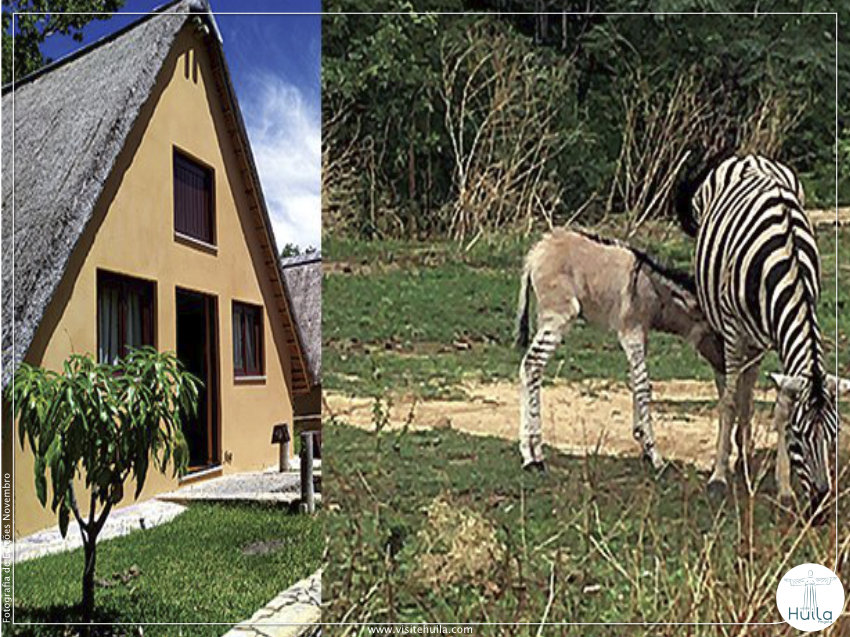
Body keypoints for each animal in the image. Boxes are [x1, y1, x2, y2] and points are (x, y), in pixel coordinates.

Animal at [515, 228, 729, 471]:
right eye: (717, 333)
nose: (725, 367)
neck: (654, 292)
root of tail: (535, 253)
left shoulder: (641, 334)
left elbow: (638, 382)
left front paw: (643, 442)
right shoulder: (631, 331)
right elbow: (643, 385)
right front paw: (654, 454)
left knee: (528, 368)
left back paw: (528, 451)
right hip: (560, 316)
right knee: (532, 365)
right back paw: (534, 455)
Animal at [676, 153, 845, 517]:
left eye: (834, 435)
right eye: (799, 435)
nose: (820, 509)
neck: (789, 263)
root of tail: (748, 156)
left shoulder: (782, 336)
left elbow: (780, 404)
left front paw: (784, 488)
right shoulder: (733, 328)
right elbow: (727, 401)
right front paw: (718, 476)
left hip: (755, 337)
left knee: (748, 385)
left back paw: (745, 449)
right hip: (723, 324)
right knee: (726, 382)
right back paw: (732, 451)